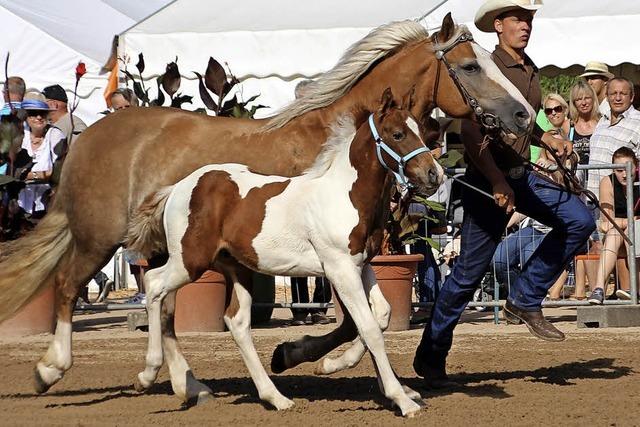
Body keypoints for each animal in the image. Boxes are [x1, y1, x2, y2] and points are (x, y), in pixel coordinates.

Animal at [128, 88, 442, 416]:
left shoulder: (361, 265)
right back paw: (148, 376)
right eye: (397, 134)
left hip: (236, 268)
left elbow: (381, 315)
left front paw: (332, 365)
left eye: (422, 132)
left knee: (237, 321)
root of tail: (177, 188)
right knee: (154, 284)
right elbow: (369, 328)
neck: (344, 195)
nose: (434, 175)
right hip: (190, 261)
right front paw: (402, 400)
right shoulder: (339, 268)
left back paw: (275, 397)